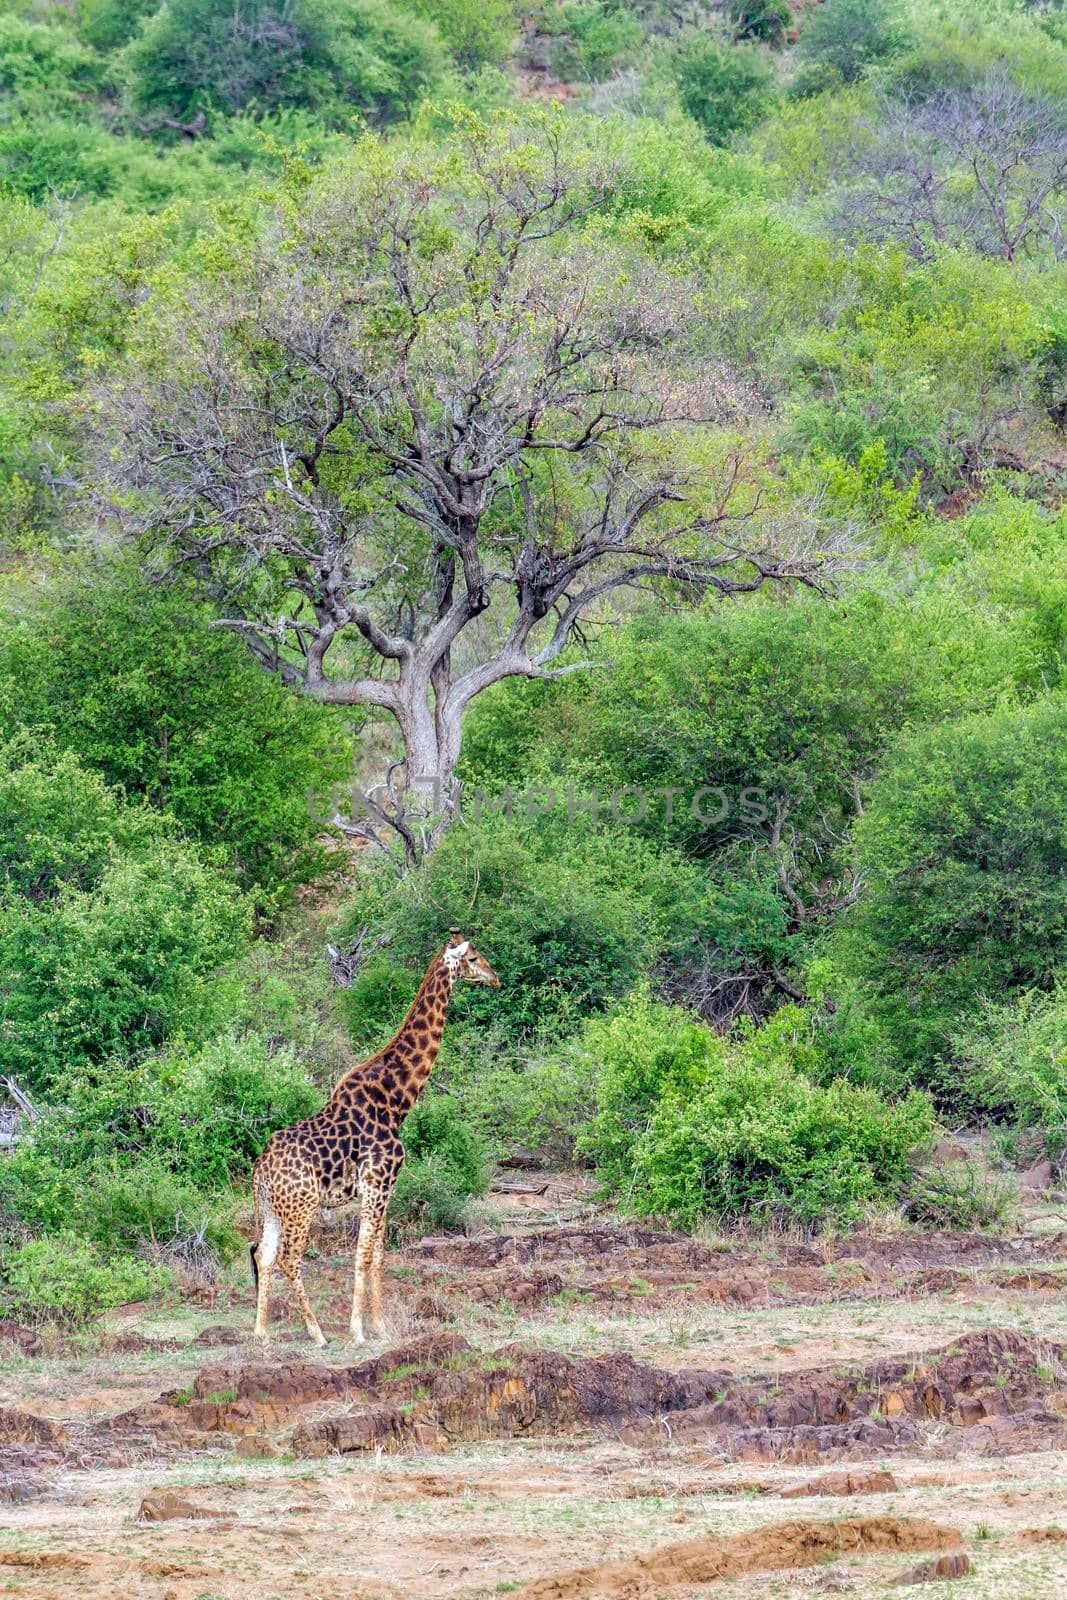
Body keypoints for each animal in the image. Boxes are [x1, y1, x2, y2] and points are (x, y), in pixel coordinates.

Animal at [251, 934, 502, 1344]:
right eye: (474, 958)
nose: (495, 979)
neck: (397, 1099)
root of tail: (259, 1172)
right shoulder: (378, 1181)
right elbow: (364, 1253)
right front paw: (358, 1332)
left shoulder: (386, 1186)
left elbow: (379, 1254)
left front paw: (380, 1327)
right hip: (302, 1207)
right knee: (289, 1258)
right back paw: (318, 1333)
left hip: (274, 1209)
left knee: (264, 1255)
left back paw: (261, 1334)